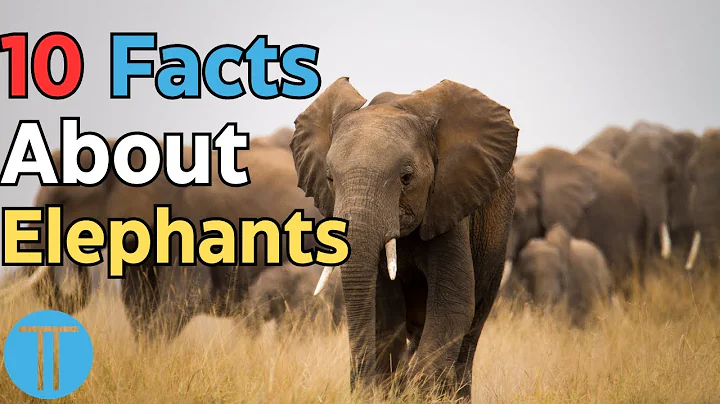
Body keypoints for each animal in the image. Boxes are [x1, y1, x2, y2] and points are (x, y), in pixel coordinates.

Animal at [289, 77, 518, 399]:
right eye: (330, 179)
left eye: (406, 178)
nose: (357, 384)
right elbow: (384, 310)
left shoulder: (450, 204)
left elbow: (453, 304)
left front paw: (417, 392)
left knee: (472, 329)